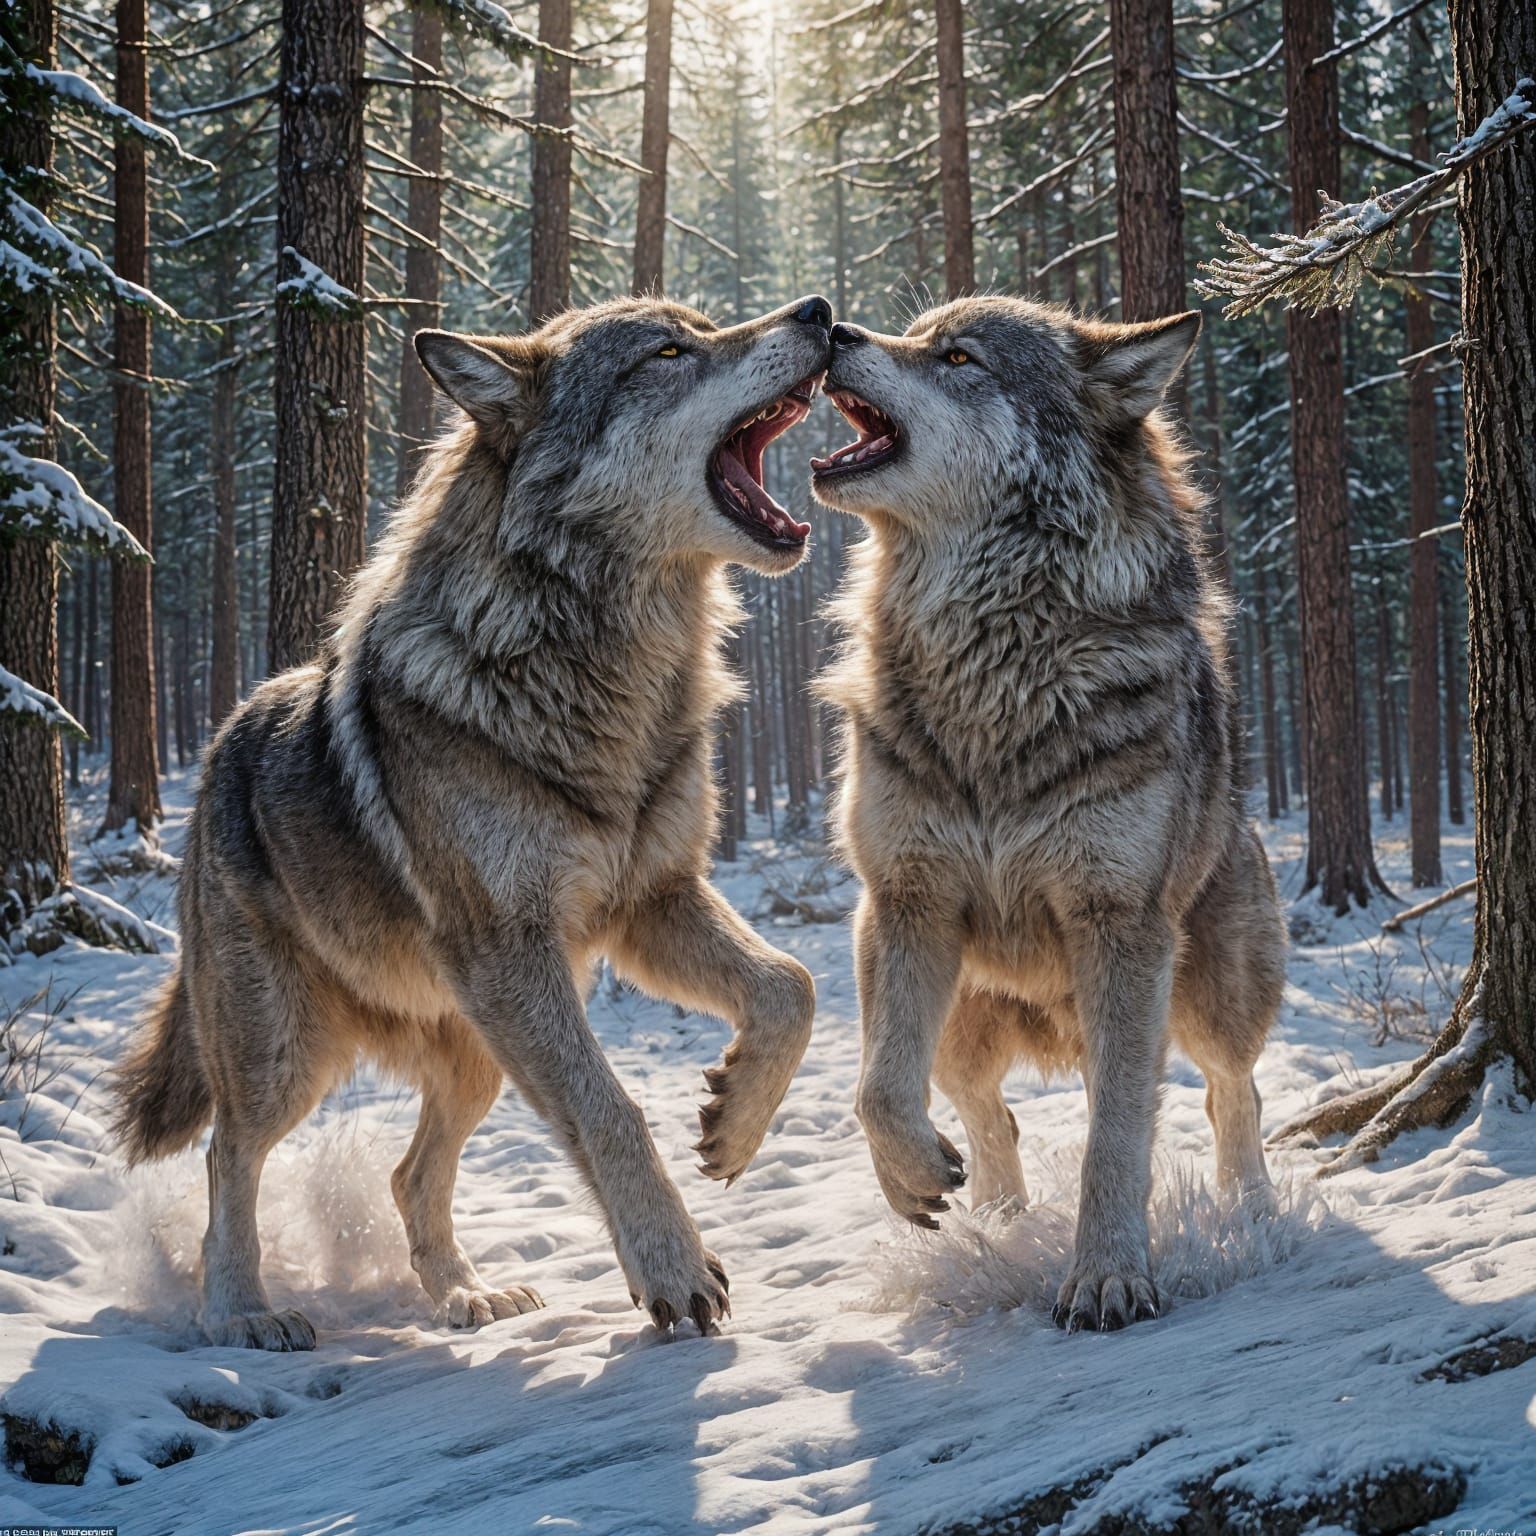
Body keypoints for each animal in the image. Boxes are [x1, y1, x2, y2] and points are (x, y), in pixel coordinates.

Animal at [113, 294, 834, 1349]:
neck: (592, 673)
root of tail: (217, 751)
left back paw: (465, 1295)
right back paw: (243, 1312)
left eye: (702, 324)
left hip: (478, 1056)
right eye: (668, 351)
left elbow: (790, 985)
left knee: (407, 1175)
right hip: (289, 1054)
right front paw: (674, 1270)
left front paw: (733, 1124)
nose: (820, 310)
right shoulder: (515, 950)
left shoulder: (653, 904)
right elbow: (612, 1106)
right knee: (227, 1156)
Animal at [810, 297, 1285, 1332]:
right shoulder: (900, 901)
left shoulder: (1121, 928)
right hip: (961, 1017)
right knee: (988, 1112)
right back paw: (987, 1215)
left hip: (1209, 994)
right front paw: (911, 1179)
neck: (992, 666)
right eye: (914, 331)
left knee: (1234, 1095)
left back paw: (1253, 1212)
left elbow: (1118, 1132)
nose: (831, 328)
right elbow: (875, 1088)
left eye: (958, 357)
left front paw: (1109, 1277)